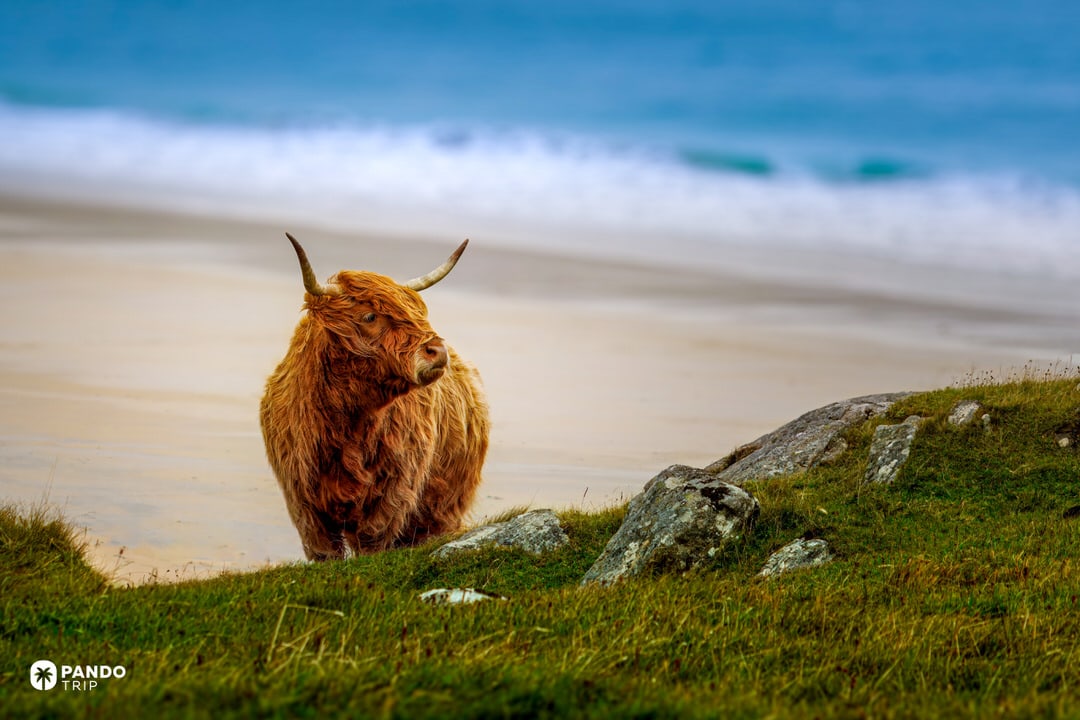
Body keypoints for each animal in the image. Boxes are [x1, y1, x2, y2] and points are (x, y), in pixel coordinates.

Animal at [260, 233, 489, 560]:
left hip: (443, 506)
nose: (436, 351)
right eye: (369, 316)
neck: (346, 424)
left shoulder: (390, 496)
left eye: (418, 313)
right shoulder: (304, 503)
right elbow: (325, 552)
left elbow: (372, 544)